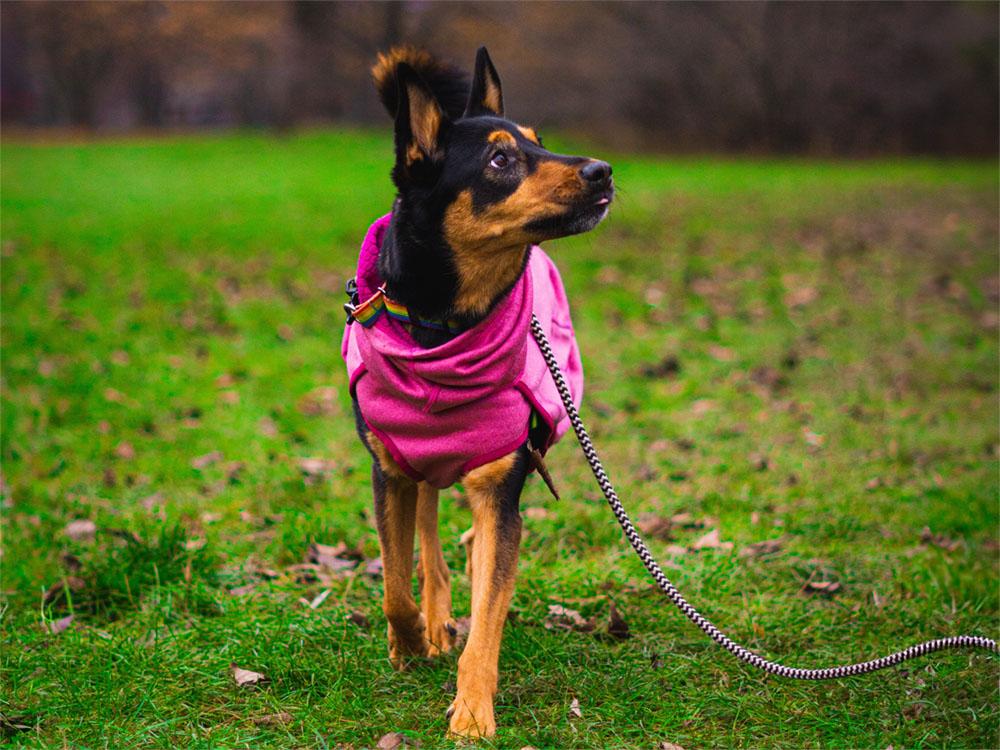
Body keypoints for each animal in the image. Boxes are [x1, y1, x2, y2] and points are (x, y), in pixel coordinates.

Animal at [340, 45, 612, 740]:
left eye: (539, 141)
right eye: (499, 161)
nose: (602, 170)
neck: (446, 327)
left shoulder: (499, 486)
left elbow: (489, 611)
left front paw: (471, 711)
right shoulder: (389, 470)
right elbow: (394, 584)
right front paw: (411, 641)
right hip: (419, 466)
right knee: (428, 538)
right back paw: (435, 615)